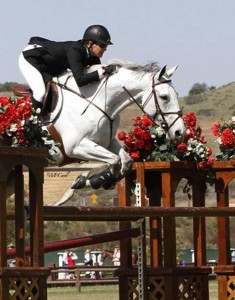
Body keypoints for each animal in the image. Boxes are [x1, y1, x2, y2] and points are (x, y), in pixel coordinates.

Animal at [42, 59, 185, 188]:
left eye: (176, 94)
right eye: (164, 97)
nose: (180, 132)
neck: (97, 102)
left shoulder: (107, 142)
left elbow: (126, 162)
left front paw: (92, 180)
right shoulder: (75, 147)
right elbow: (115, 160)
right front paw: (94, 180)